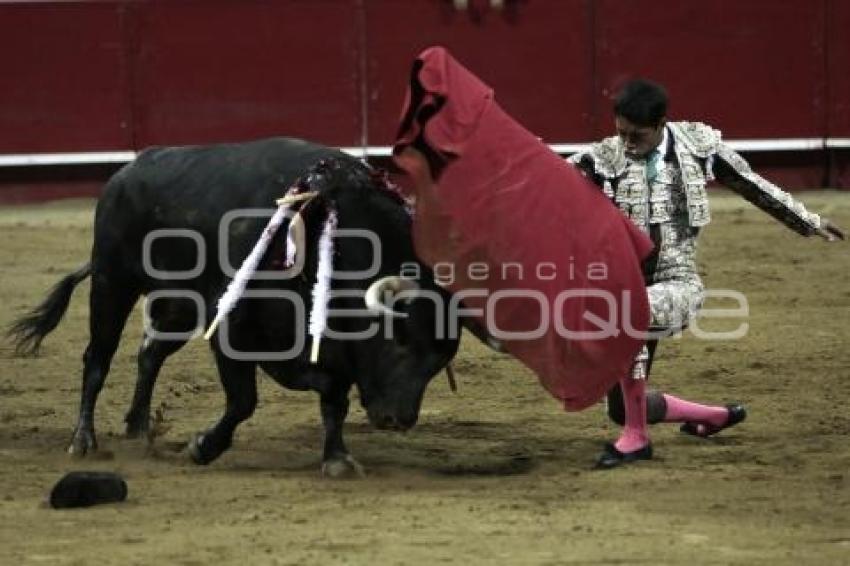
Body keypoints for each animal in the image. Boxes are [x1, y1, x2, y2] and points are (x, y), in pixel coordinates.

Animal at [6, 139, 458, 480]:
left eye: (438, 361)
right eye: (399, 343)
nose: (398, 419)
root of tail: (126, 172)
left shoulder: (329, 346)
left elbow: (334, 399)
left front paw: (336, 459)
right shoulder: (229, 329)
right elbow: (243, 401)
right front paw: (202, 447)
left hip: (178, 306)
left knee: (149, 354)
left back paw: (138, 428)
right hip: (112, 283)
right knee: (98, 359)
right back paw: (83, 440)